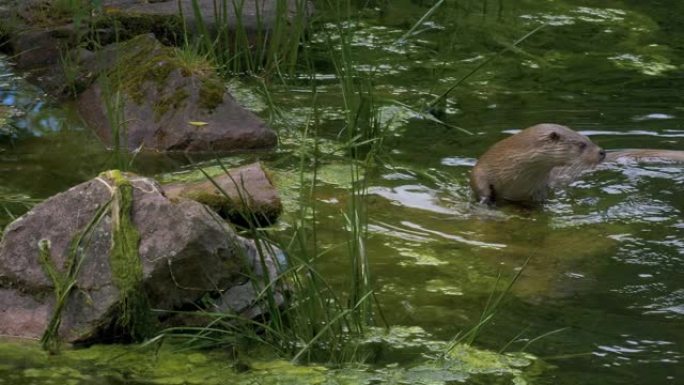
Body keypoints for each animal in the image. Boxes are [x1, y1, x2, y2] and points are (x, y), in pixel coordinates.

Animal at [470, 125, 604, 204]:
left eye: (589, 139)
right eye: (582, 144)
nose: (602, 152)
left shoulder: (540, 188)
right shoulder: (480, 170)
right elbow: (481, 189)